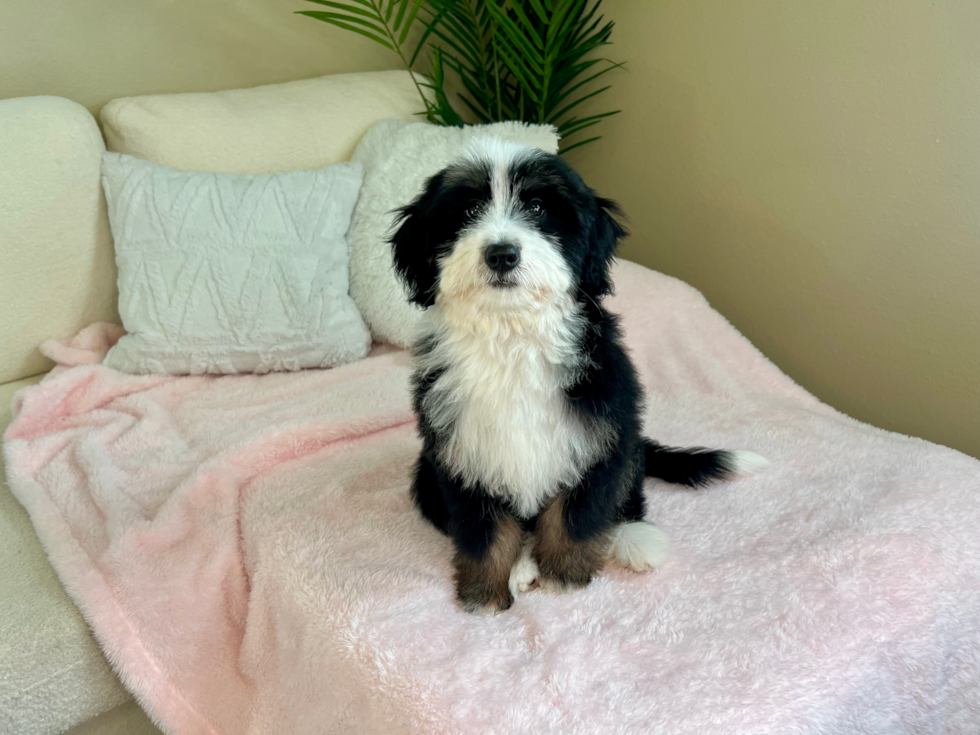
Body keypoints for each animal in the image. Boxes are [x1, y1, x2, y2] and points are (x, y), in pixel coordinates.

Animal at [390, 138, 764, 616]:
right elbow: (483, 529)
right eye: (469, 210)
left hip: (626, 441)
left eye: (536, 207)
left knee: (627, 496)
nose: (502, 254)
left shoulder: (597, 432)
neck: (512, 338)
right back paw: (521, 566)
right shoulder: (462, 450)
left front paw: (564, 574)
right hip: (425, 476)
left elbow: (578, 514)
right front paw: (486, 593)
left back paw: (634, 539)